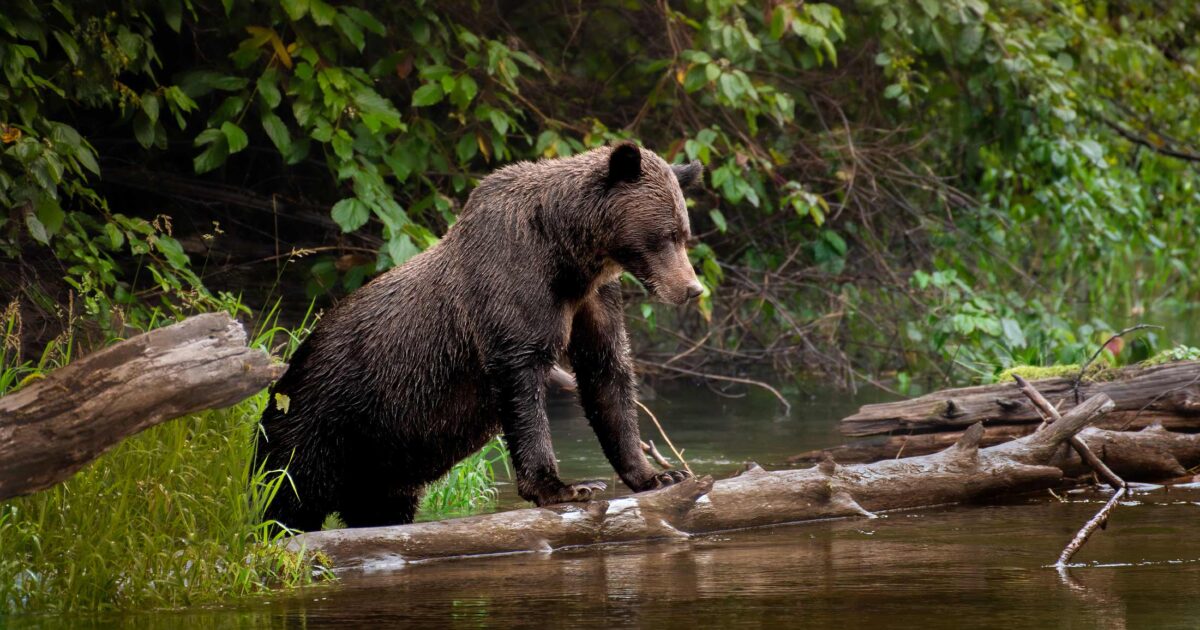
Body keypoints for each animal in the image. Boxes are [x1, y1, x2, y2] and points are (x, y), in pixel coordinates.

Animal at [255, 142, 703, 530]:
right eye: (665, 236)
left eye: (684, 234)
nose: (692, 288)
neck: (568, 256)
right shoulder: (510, 284)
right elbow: (522, 382)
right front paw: (565, 486)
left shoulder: (594, 299)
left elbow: (607, 375)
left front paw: (660, 474)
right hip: (322, 422)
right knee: (286, 496)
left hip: (379, 464)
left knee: (378, 507)